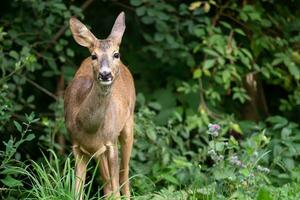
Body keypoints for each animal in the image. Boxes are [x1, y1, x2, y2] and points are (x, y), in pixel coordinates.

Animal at [65, 12, 137, 198]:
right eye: (94, 56)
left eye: (116, 54)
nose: (105, 74)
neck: (88, 128)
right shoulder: (77, 147)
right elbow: (77, 191)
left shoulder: (111, 142)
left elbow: (116, 188)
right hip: (98, 152)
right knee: (106, 182)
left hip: (128, 124)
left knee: (124, 174)